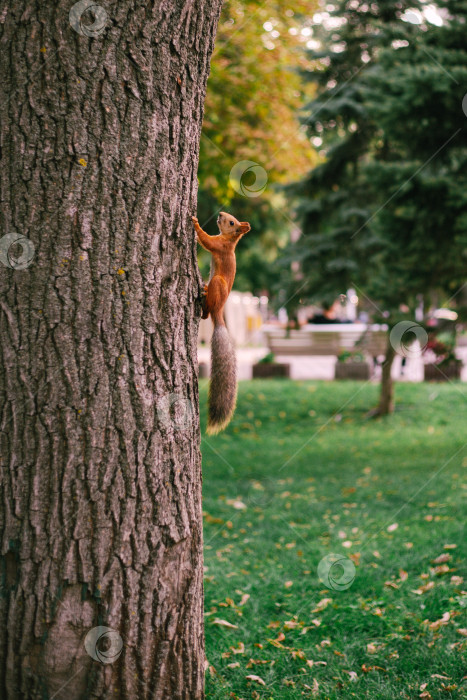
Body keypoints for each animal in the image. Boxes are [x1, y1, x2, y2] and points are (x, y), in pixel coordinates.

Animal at [194, 211, 252, 434]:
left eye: (231, 222)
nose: (220, 214)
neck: (229, 240)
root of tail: (220, 313)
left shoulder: (219, 246)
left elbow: (207, 241)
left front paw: (195, 224)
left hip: (217, 283)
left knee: (207, 312)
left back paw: (204, 297)